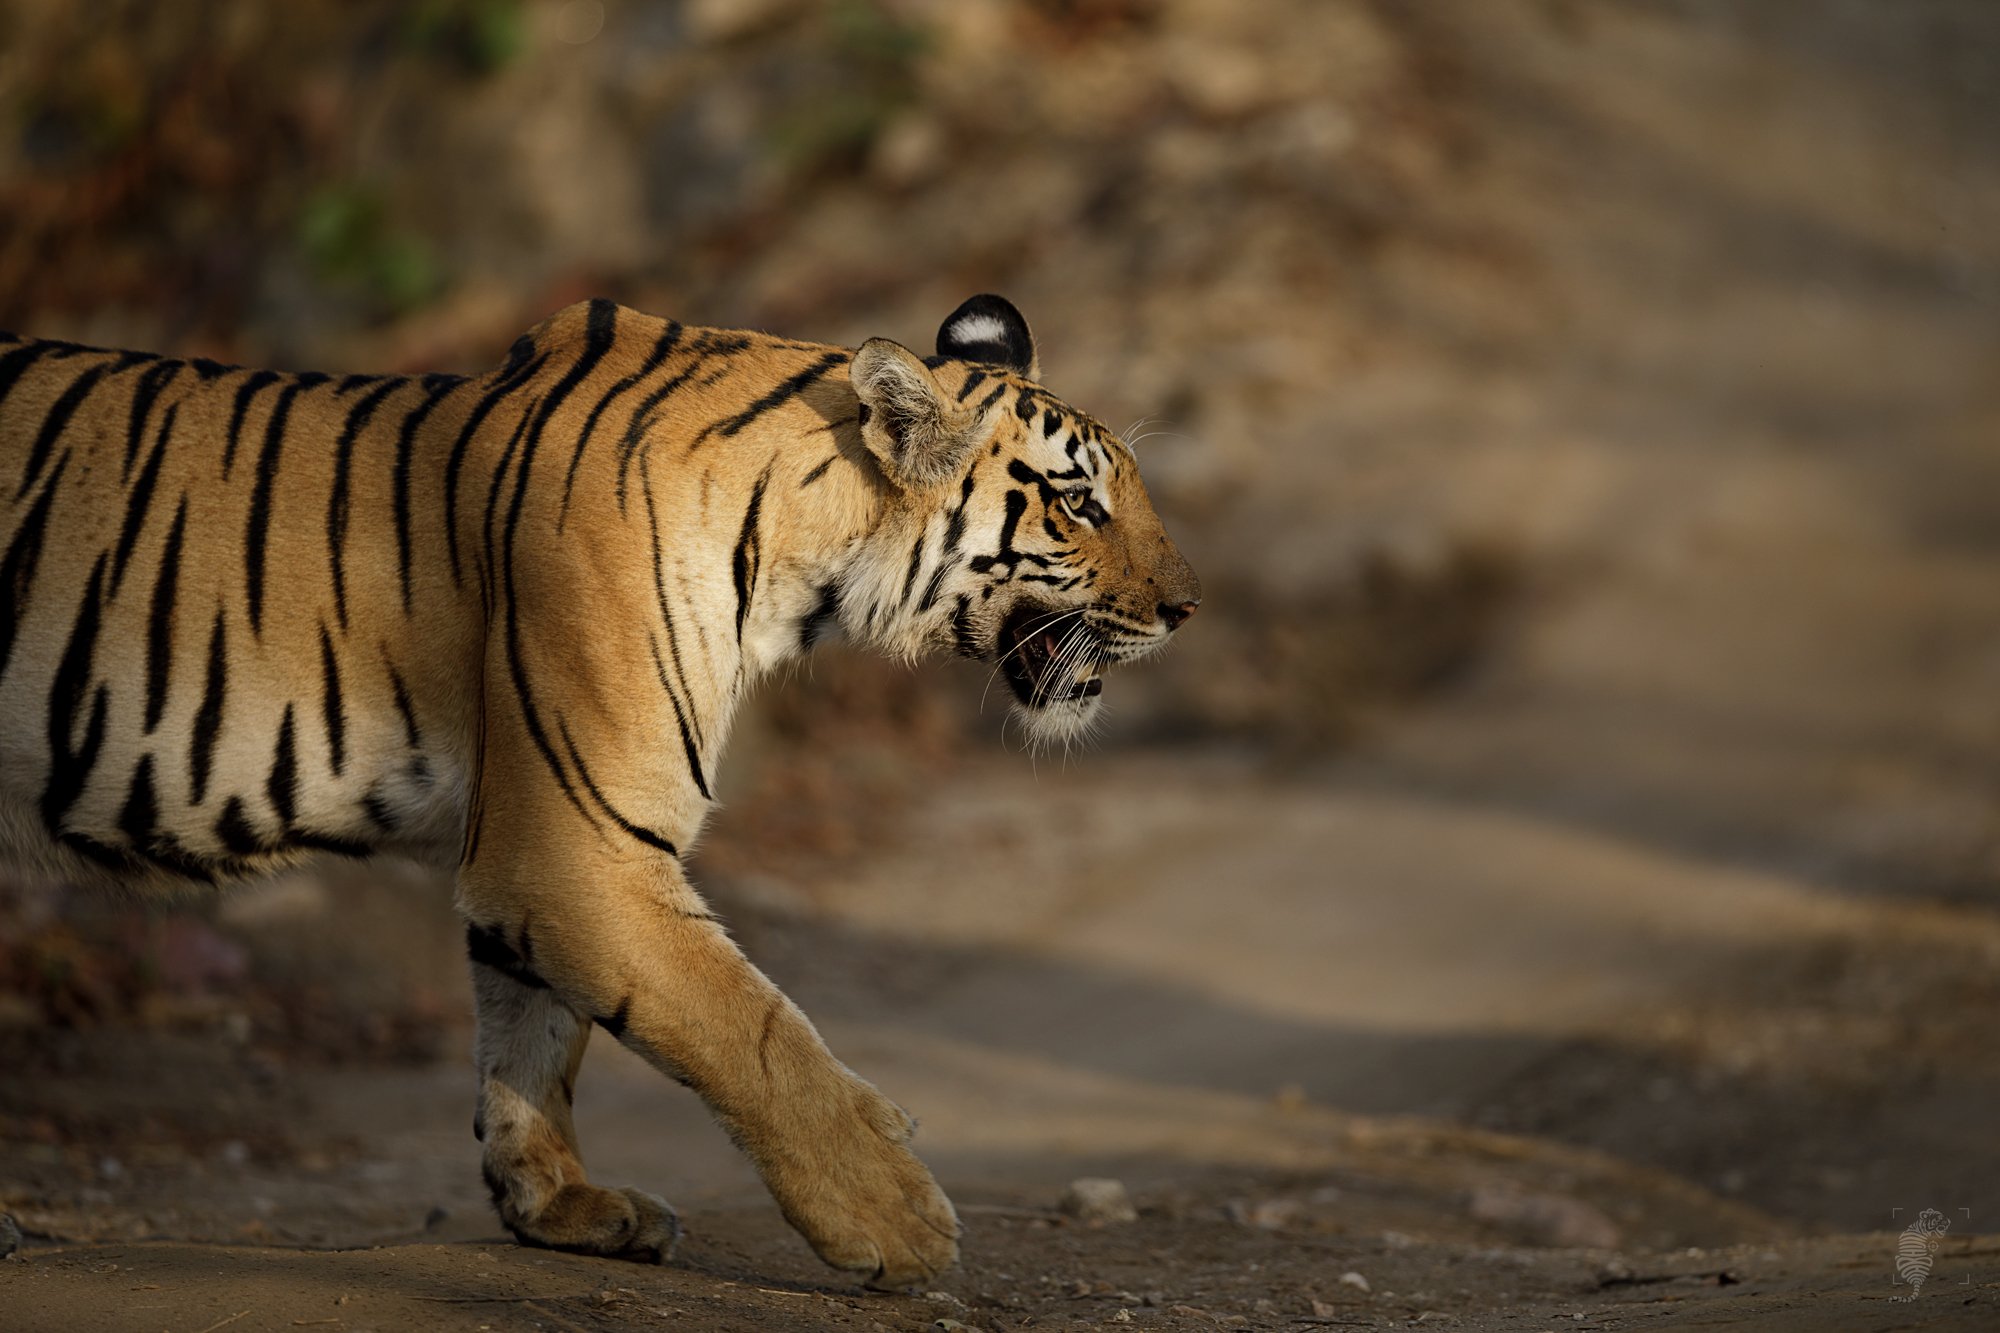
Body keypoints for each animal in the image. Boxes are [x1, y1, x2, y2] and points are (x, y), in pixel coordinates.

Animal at [0, 296, 1200, 1280]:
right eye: (1077, 503)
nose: (1188, 607)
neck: (800, 559)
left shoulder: (542, 851)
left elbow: (532, 1034)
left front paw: (559, 1205)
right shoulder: (578, 848)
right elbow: (755, 1032)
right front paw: (898, 1221)